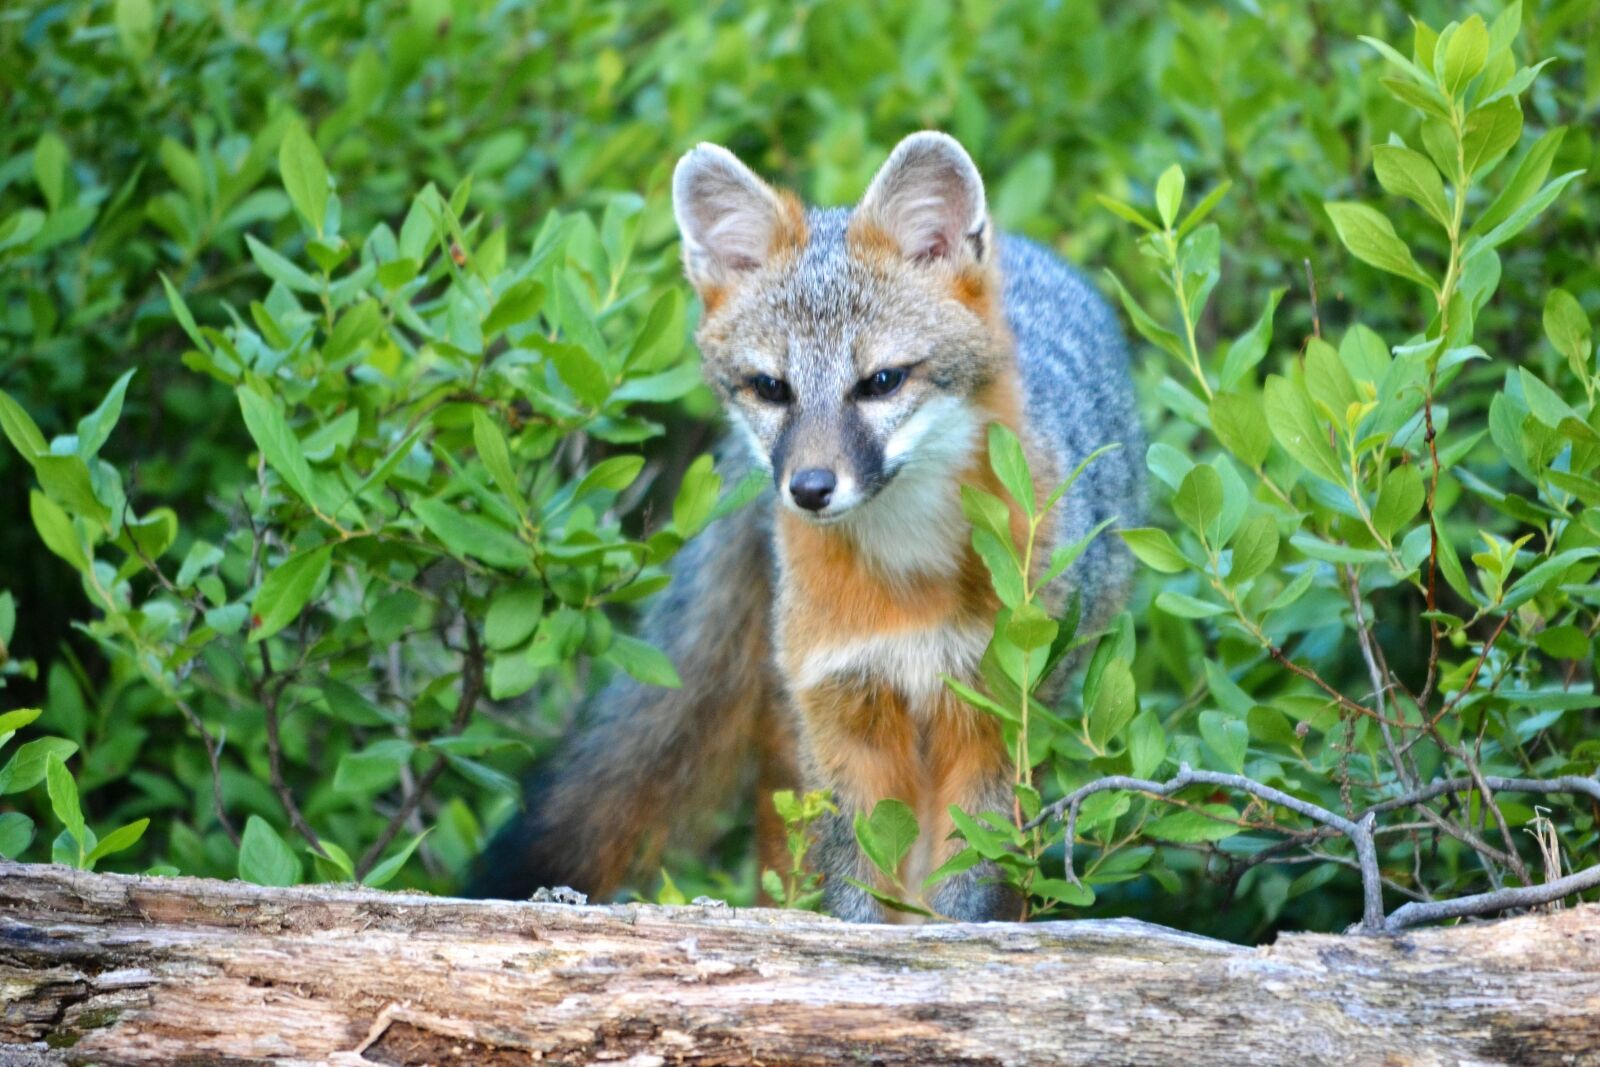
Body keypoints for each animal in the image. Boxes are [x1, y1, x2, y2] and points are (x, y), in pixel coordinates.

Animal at [469, 131, 1142, 922]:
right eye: (771, 388)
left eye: (881, 382)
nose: (810, 488)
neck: (908, 579)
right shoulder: (844, 719)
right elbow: (855, 886)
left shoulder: (994, 719)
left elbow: (964, 887)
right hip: (791, 735)